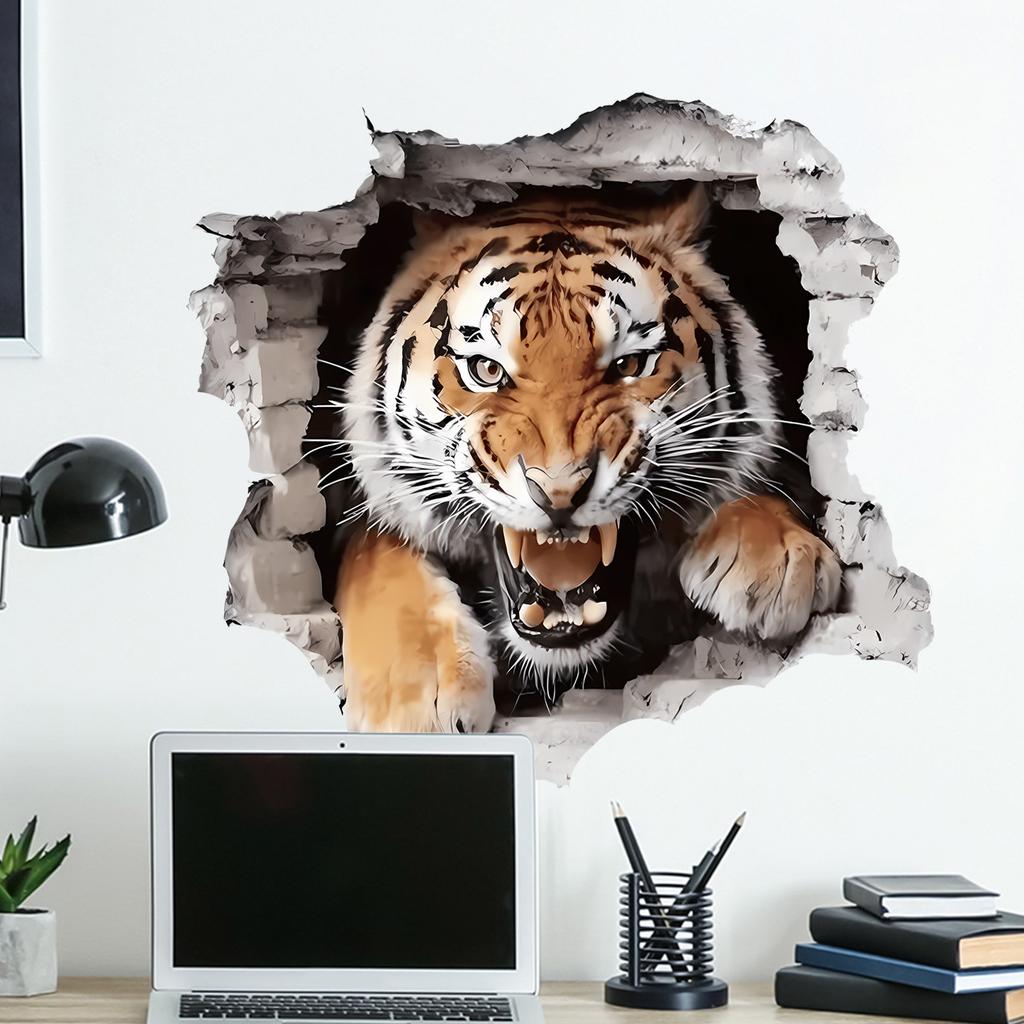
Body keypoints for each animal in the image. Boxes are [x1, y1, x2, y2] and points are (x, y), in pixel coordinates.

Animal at [333, 185, 841, 733]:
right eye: (486, 370)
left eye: (630, 365)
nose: (558, 492)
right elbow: (374, 548)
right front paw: (414, 696)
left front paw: (777, 560)